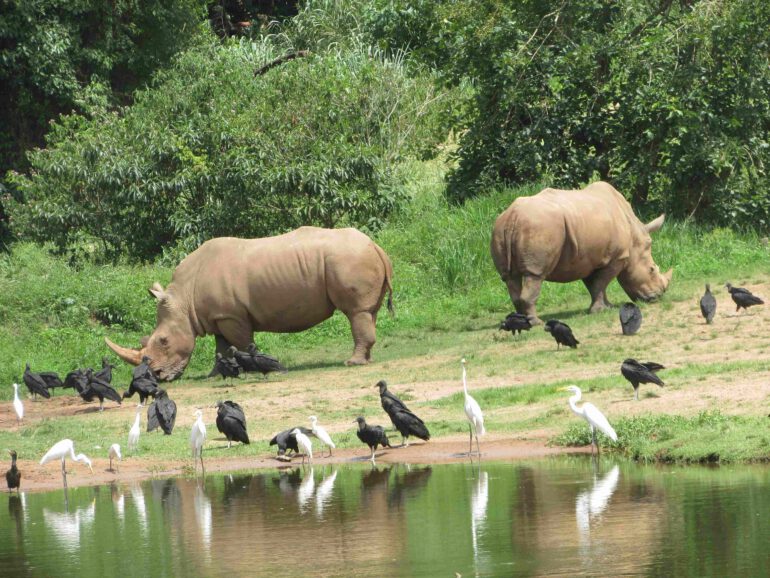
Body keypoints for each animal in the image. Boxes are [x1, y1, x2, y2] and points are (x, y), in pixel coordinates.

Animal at [106, 227, 394, 380]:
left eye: (163, 341)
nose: (156, 377)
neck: (185, 299)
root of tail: (375, 245)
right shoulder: (218, 316)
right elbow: (222, 347)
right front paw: (214, 375)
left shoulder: (232, 315)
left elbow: (242, 344)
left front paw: (249, 367)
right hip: (356, 258)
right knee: (368, 313)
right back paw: (365, 359)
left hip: (349, 259)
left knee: (356, 312)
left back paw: (352, 363)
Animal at [490, 181, 672, 323]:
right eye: (652, 270)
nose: (658, 296)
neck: (634, 237)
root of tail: (513, 215)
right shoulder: (617, 258)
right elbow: (601, 283)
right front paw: (600, 310)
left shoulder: (587, 260)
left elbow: (595, 285)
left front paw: (607, 307)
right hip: (539, 227)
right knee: (535, 275)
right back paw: (536, 322)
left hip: (499, 228)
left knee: (509, 277)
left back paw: (520, 322)